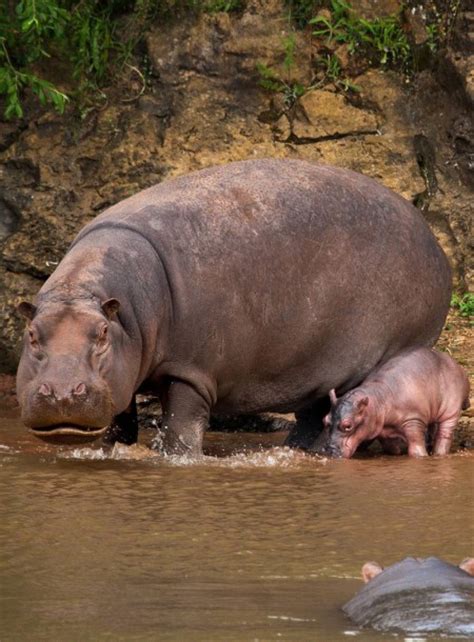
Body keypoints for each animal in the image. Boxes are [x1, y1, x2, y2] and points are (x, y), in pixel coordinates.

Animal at [15, 159, 452, 450]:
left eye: (103, 333)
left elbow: (180, 431)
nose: (62, 392)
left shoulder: (191, 370)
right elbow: (121, 422)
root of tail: (435, 245)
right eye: (32, 334)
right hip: (319, 368)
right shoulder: (123, 374)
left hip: (387, 353)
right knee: (313, 415)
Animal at [324, 350, 468, 456]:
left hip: (451, 411)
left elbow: (416, 448)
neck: (378, 399)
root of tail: (457, 365)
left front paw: (422, 456)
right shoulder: (381, 429)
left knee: (445, 433)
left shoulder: (414, 420)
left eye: (348, 426)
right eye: (324, 420)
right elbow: (391, 447)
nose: (329, 451)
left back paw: (439, 454)